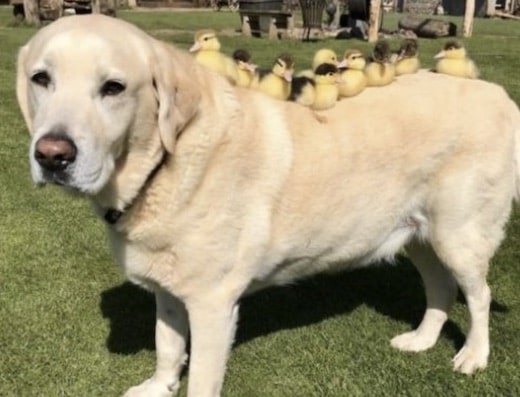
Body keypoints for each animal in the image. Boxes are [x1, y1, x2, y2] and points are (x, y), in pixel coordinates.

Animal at [16, 13, 520, 394]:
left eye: (114, 87)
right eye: (41, 79)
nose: (52, 155)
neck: (165, 165)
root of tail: (499, 94)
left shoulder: (213, 305)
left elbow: (201, 377)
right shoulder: (170, 290)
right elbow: (167, 345)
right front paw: (159, 387)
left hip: (458, 234)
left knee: (477, 294)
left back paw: (474, 355)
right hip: (419, 234)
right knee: (441, 287)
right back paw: (422, 339)